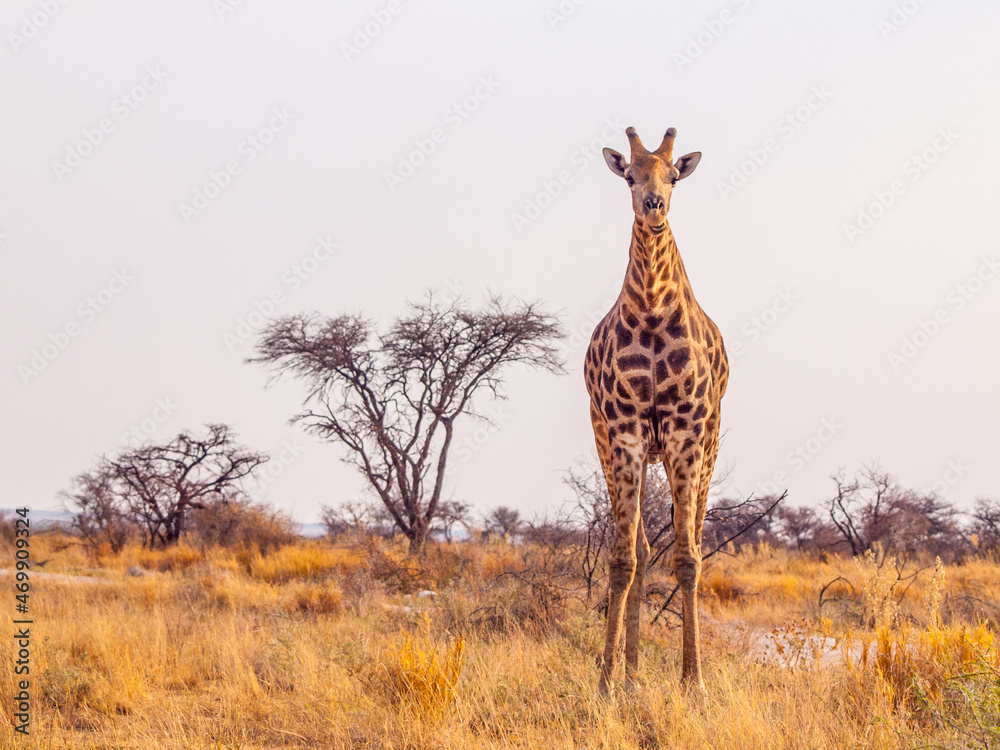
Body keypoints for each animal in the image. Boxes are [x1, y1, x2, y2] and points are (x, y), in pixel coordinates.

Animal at [584, 126, 728, 695]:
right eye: (630, 175)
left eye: (672, 176)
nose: (654, 207)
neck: (649, 308)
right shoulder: (624, 434)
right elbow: (624, 559)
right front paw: (606, 681)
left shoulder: (687, 434)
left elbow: (688, 558)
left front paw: (695, 683)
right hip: (614, 448)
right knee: (643, 551)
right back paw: (630, 674)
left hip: (705, 448)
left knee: (690, 544)